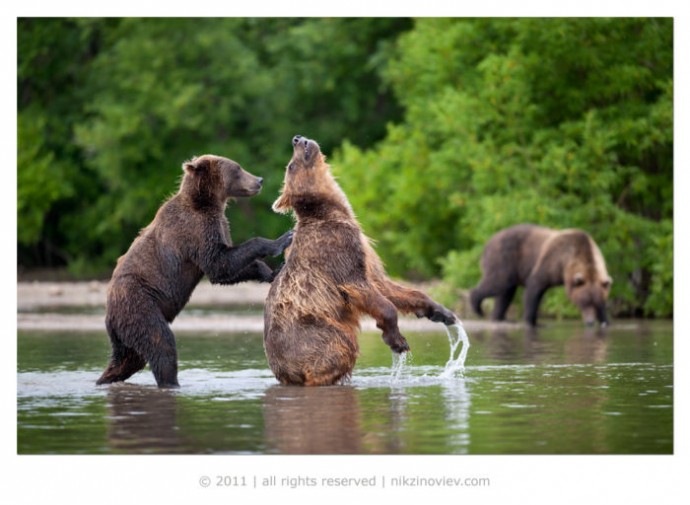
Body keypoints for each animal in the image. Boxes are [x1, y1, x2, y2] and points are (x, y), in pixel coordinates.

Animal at [96, 156, 290, 388]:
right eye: (237, 169)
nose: (259, 180)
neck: (207, 202)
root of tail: (109, 312)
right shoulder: (195, 231)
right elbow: (220, 263)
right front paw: (282, 240)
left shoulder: (218, 226)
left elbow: (226, 270)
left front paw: (272, 271)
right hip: (139, 304)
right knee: (161, 343)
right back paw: (172, 383)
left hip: (126, 330)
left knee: (128, 359)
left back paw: (105, 379)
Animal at [260, 135, 454, 386]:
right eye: (291, 166)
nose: (297, 139)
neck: (334, 212)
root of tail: (283, 372)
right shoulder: (338, 251)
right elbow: (365, 291)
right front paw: (397, 340)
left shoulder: (365, 254)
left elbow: (386, 285)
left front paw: (441, 311)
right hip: (313, 331)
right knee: (341, 344)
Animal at [468, 222, 612, 324]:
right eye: (584, 302)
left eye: (596, 303)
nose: (590, 322)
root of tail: (488, 242)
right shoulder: (552, 261)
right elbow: (534, 287)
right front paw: (532, 321)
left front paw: (605, 320)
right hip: (504, 258)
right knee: (498, 282)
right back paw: (478, 308)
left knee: (506, 292)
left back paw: (500, 317)